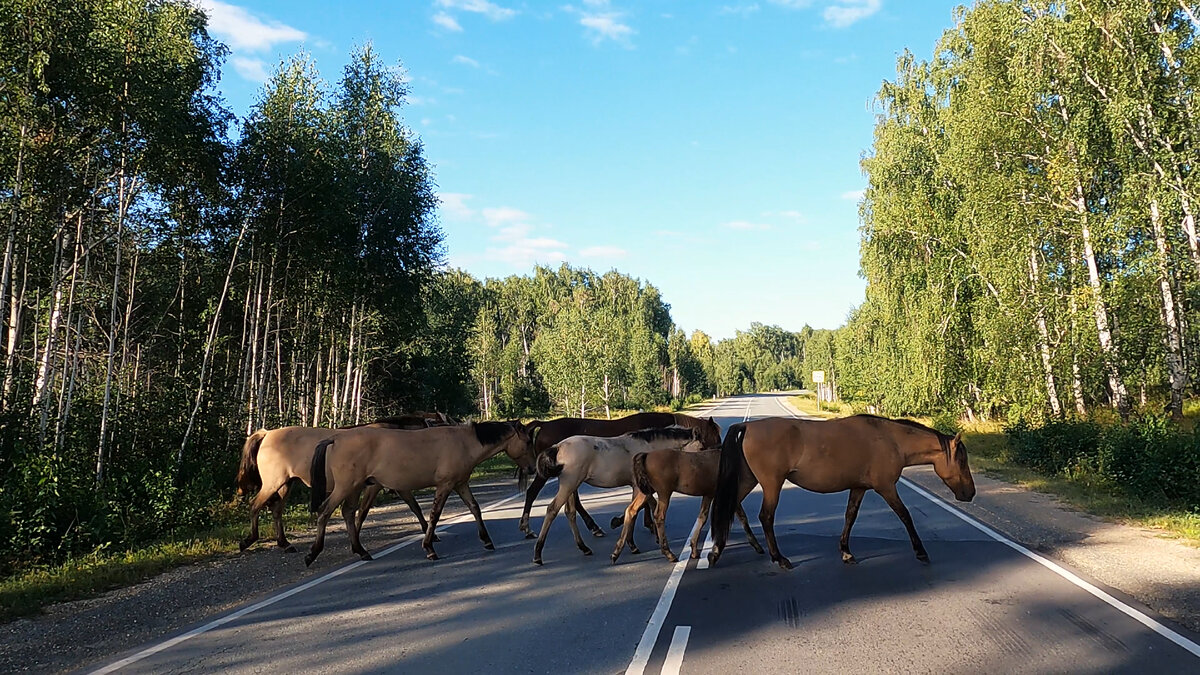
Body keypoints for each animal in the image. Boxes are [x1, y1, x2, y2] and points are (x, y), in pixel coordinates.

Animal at [304, 420, 535, 562]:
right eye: (527, 441)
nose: (533, 468)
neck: (464, 442)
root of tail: (336, 438)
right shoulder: (445, 485)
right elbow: (434, 515)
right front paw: (429, 548)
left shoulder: (460, 484)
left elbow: (475, 508)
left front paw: (486, 540)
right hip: (347, 487)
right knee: (325, 511)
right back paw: (313, 553)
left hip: (355, 487)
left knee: (348, 513)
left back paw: (361, 551)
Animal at [518, 408, 720, 538]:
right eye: (714, 437)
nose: (719, 452)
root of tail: (544, 425)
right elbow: (646, 502)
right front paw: (636, 523)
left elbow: (646, 501)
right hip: (551, 474)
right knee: (533, 493)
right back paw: (527, 527)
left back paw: (593, 527)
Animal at [532, 425, 705, 562]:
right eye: (701, 448)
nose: (700, 465)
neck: (648, 449)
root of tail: (558, 447)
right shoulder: (639, 487)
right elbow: (637, 510)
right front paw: (631, 542)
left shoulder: (640, 488)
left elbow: (642, 507)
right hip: (569, 484)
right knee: (552, 510)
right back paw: (538, 554)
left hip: (571, 487)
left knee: (570, 513)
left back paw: (584, 547)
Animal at [609, 446, 758, 562]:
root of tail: (646, 455)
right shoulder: (728, 494)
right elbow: (742, 517)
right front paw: (756, 545)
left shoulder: (709, 494)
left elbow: (702, 517)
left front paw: (694, 549)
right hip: (664, 491)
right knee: (659, 516)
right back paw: (669, 554)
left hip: (645, 491)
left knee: (631, 510)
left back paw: (617, 552)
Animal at [710, 415, 974, 566]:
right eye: (962, 461)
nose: (970, 493)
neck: (891, 440)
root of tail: (747, 426)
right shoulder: (886, 487)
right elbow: (905, 516)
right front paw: (920, 551)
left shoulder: (859, 487)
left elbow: (850, 517)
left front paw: (846, 552)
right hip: (771, 484)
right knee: (765, 517)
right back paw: (779, 558)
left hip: (748, 480)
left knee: (731, 507)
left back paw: (718, 551)